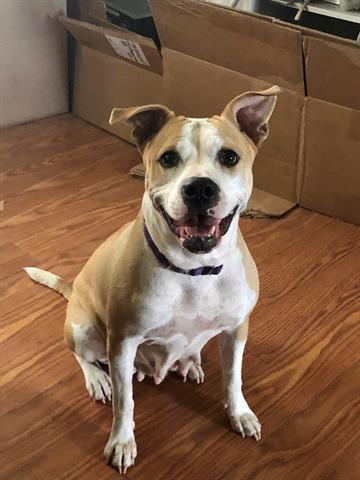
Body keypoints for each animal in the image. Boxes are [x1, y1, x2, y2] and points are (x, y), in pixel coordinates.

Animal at [25, 86, 280, 472]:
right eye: (169, 158)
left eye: (230, 157)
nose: (201, 188)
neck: (193, 270)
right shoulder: (122, 341)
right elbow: (125, 402)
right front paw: (121, 441)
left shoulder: (237, 329)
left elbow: (233, 378)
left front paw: (240, 413)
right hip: (84, 328)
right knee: (82, 356)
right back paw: (97, 379)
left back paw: (189, 364)